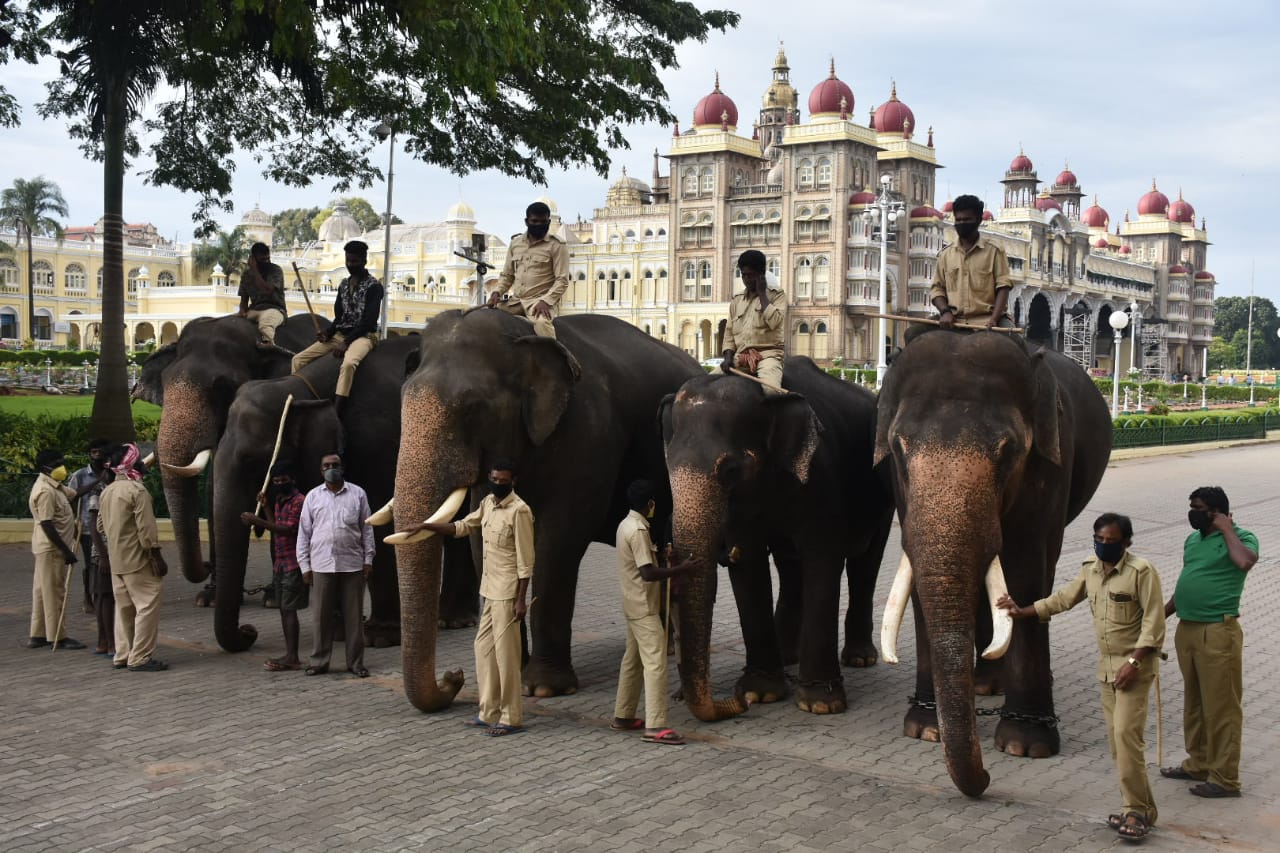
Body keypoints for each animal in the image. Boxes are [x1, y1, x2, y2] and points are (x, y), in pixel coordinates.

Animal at [133, 312, 325, 596]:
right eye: (165, 383)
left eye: (223, 387)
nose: (206, 565)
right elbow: (214, 494)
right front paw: (209, 597)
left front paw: (271, 596)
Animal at [391, 308, 706, 706]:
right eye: (402, 402)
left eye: (473, 408)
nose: (454, 676)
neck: (523, 334)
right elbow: (481, 538)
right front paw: (507, 670)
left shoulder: (587, 435)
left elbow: (558, 541)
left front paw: (543, 688)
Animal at [665, 356, 896, 722]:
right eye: (667, 465)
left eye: (731, 471)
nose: (735, 703)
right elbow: (750, 564)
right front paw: (759, 693)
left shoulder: (822, 474)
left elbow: (822, 559)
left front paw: (820, 704)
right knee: (790, 566)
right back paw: (788, 656)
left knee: (865, 563)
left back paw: (859, 658)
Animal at [875, 327, 1116, 794]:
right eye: (899, 446)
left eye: (1008, 450)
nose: (985, 779)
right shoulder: (898, 486)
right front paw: (924, 729)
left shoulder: (1050, 466)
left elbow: (1026, 573)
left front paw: (1026, 743)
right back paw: (984, 683)